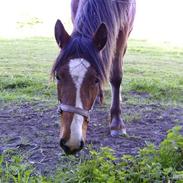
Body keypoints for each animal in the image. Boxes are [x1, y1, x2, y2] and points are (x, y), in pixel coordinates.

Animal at [51, 0, 136, 154]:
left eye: (96, 79)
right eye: (58, 76)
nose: (71, 142)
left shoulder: (123, 32)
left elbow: (116, 75)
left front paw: (117, 122)